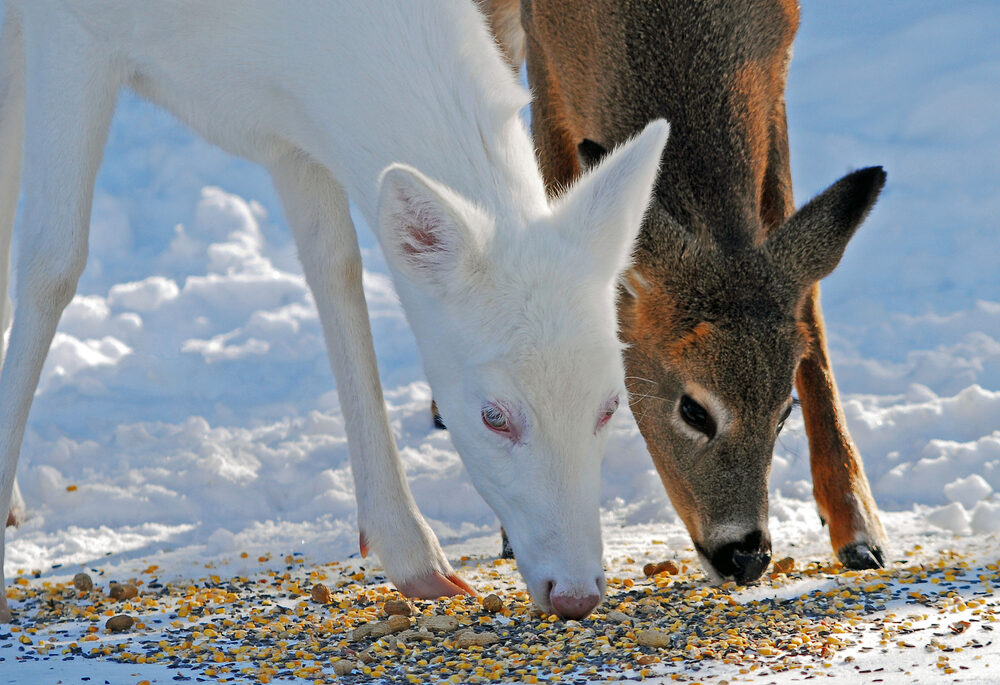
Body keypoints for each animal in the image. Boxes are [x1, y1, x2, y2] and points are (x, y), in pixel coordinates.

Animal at [0, 0, 671, 621]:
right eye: (492, 416)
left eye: (611, 406)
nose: (577, 592)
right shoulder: (70, 28)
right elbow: (52, 263)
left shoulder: (290, 132)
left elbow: (337, 269)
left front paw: (412, 552)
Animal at [478, 0, 889, 583]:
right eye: (694, 410)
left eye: (783, 411)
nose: (746, 555)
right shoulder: (546, 57)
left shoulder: (775, 73)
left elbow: (808, 303)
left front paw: (858, 527)